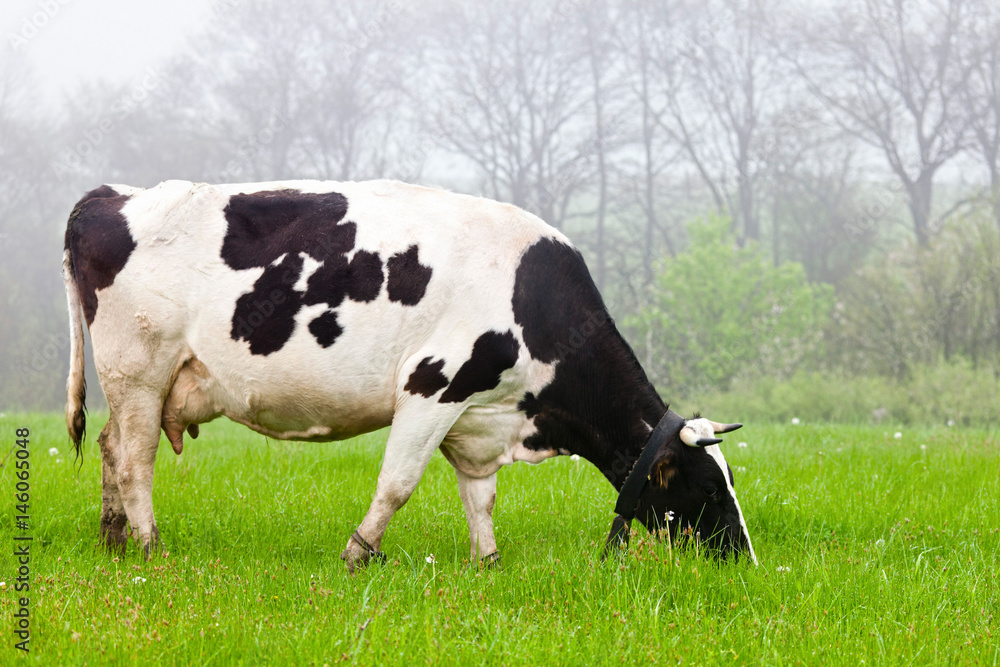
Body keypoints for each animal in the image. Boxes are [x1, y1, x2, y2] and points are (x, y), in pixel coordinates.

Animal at [64, 180, 756, 572]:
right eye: (707, 484)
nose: (742, 557)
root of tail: (110, 195)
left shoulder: (478, 416)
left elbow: (481, 497)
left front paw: (488, 563)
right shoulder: (434, 387)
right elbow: (396, 485)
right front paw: (356, 556)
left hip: (137, 383)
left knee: (109, 447)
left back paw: (113, 541)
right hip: (140, 372)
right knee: (134, 461)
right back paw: (151, 550)